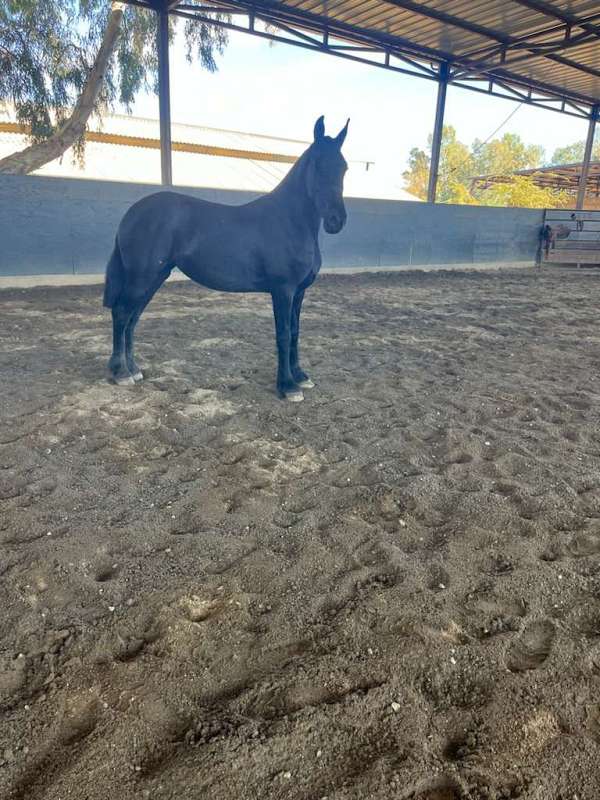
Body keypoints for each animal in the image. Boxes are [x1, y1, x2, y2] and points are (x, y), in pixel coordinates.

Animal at [103, 115, 349, 402]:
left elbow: (296, 333)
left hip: (153, 279)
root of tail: (132, 213)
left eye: (343, 168)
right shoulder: (283, 290)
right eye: (318, 165)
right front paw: (288, 386)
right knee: (121, 313)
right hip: (142, 278)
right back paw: (121, 373)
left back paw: (134, 369)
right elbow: (284, 334)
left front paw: (300, 377)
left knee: (132, 318)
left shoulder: (299, 292)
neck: (290, 221)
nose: (336, 221)